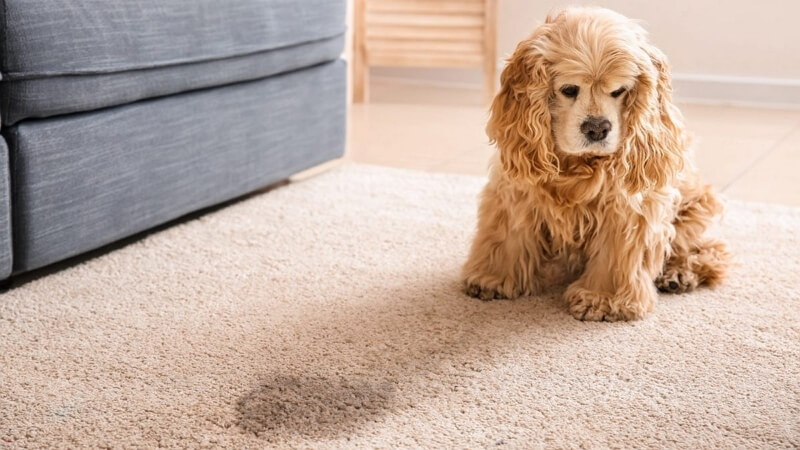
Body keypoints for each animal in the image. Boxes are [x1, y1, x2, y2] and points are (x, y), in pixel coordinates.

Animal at [462, 7, 732, 324]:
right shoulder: (516, 190)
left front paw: (603, 300)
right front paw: (492, 278)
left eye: (619, 91)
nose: (597, 128)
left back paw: (678, 274)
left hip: (695, 207)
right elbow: (506, 236)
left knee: (710, 250)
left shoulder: (628, 208)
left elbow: (615, 255)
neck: (577, 165)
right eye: (569, 89)